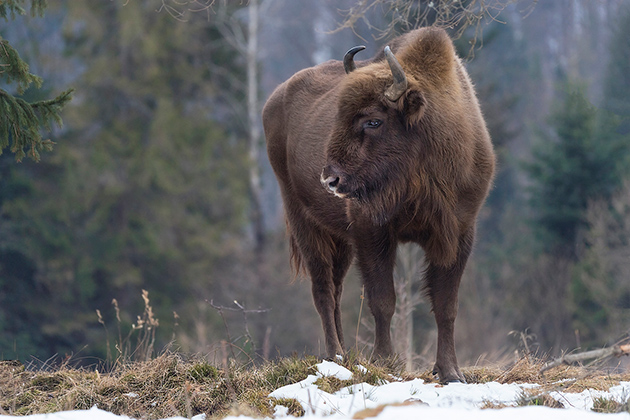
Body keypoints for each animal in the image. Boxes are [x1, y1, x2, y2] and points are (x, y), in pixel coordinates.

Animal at [264, 27, 496, 384]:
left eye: (373, 121)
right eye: (338, 116)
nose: (330, 179)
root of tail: (273, 101)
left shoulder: (457, 234)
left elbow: (446, 305)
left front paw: (450, 372)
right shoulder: (372, 232)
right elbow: (383, 299)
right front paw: (386, 361)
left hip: (340, 240)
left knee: (336, 290)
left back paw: (345, 356)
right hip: (304, 222)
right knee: (323, 290)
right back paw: (335, 355)